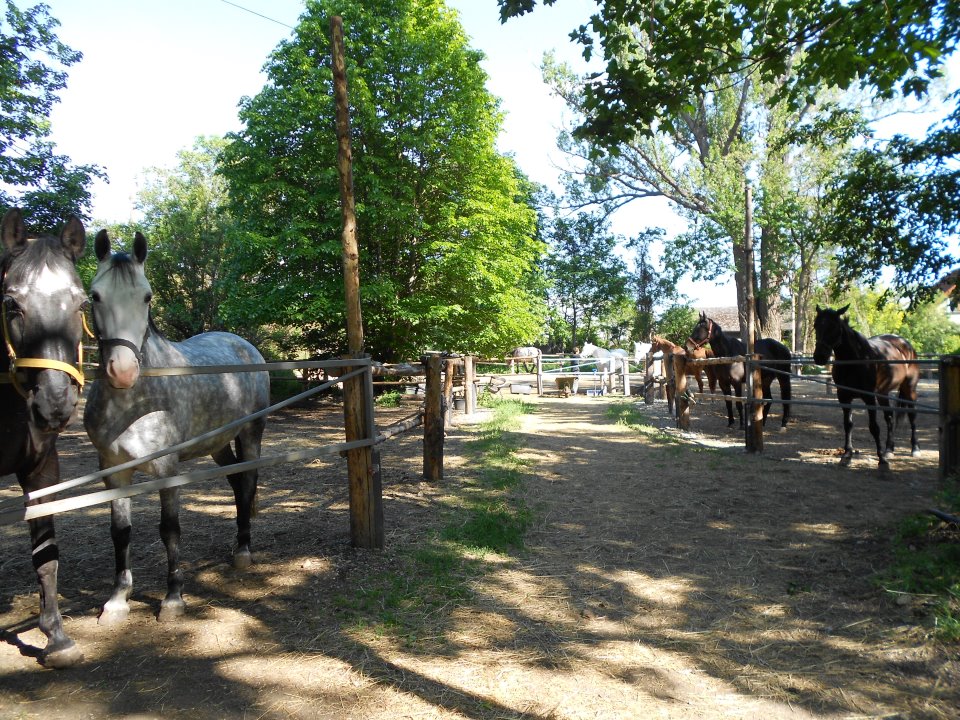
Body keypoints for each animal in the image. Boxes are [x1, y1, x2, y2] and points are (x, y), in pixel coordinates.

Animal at [83, 231, 270, 624]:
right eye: (95, 295)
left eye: (147, 296)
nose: (123, 371)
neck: (134, 405)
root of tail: (244, 345)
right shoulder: (112, 470)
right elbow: (120, 531)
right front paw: (117, 600)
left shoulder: (166, 469)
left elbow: (169, 529)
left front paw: (173, 598)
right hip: (218, 443)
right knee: (236, 483)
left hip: (251, 433)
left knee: (247, 482)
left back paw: (243, 550)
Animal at [808, 304, 924, 466]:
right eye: (816, 325)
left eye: (834, 327)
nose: (819, 357)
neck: (854, 361)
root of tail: (904, 343)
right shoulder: (844, 397)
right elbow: (848, 425)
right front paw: (847, 455)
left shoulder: (869, 398)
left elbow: (874, 427)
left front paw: (881, 459)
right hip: (883, 393)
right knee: (889, 418)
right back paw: (889, 450)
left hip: (909, 389)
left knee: (912, 415)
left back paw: (915, 449)